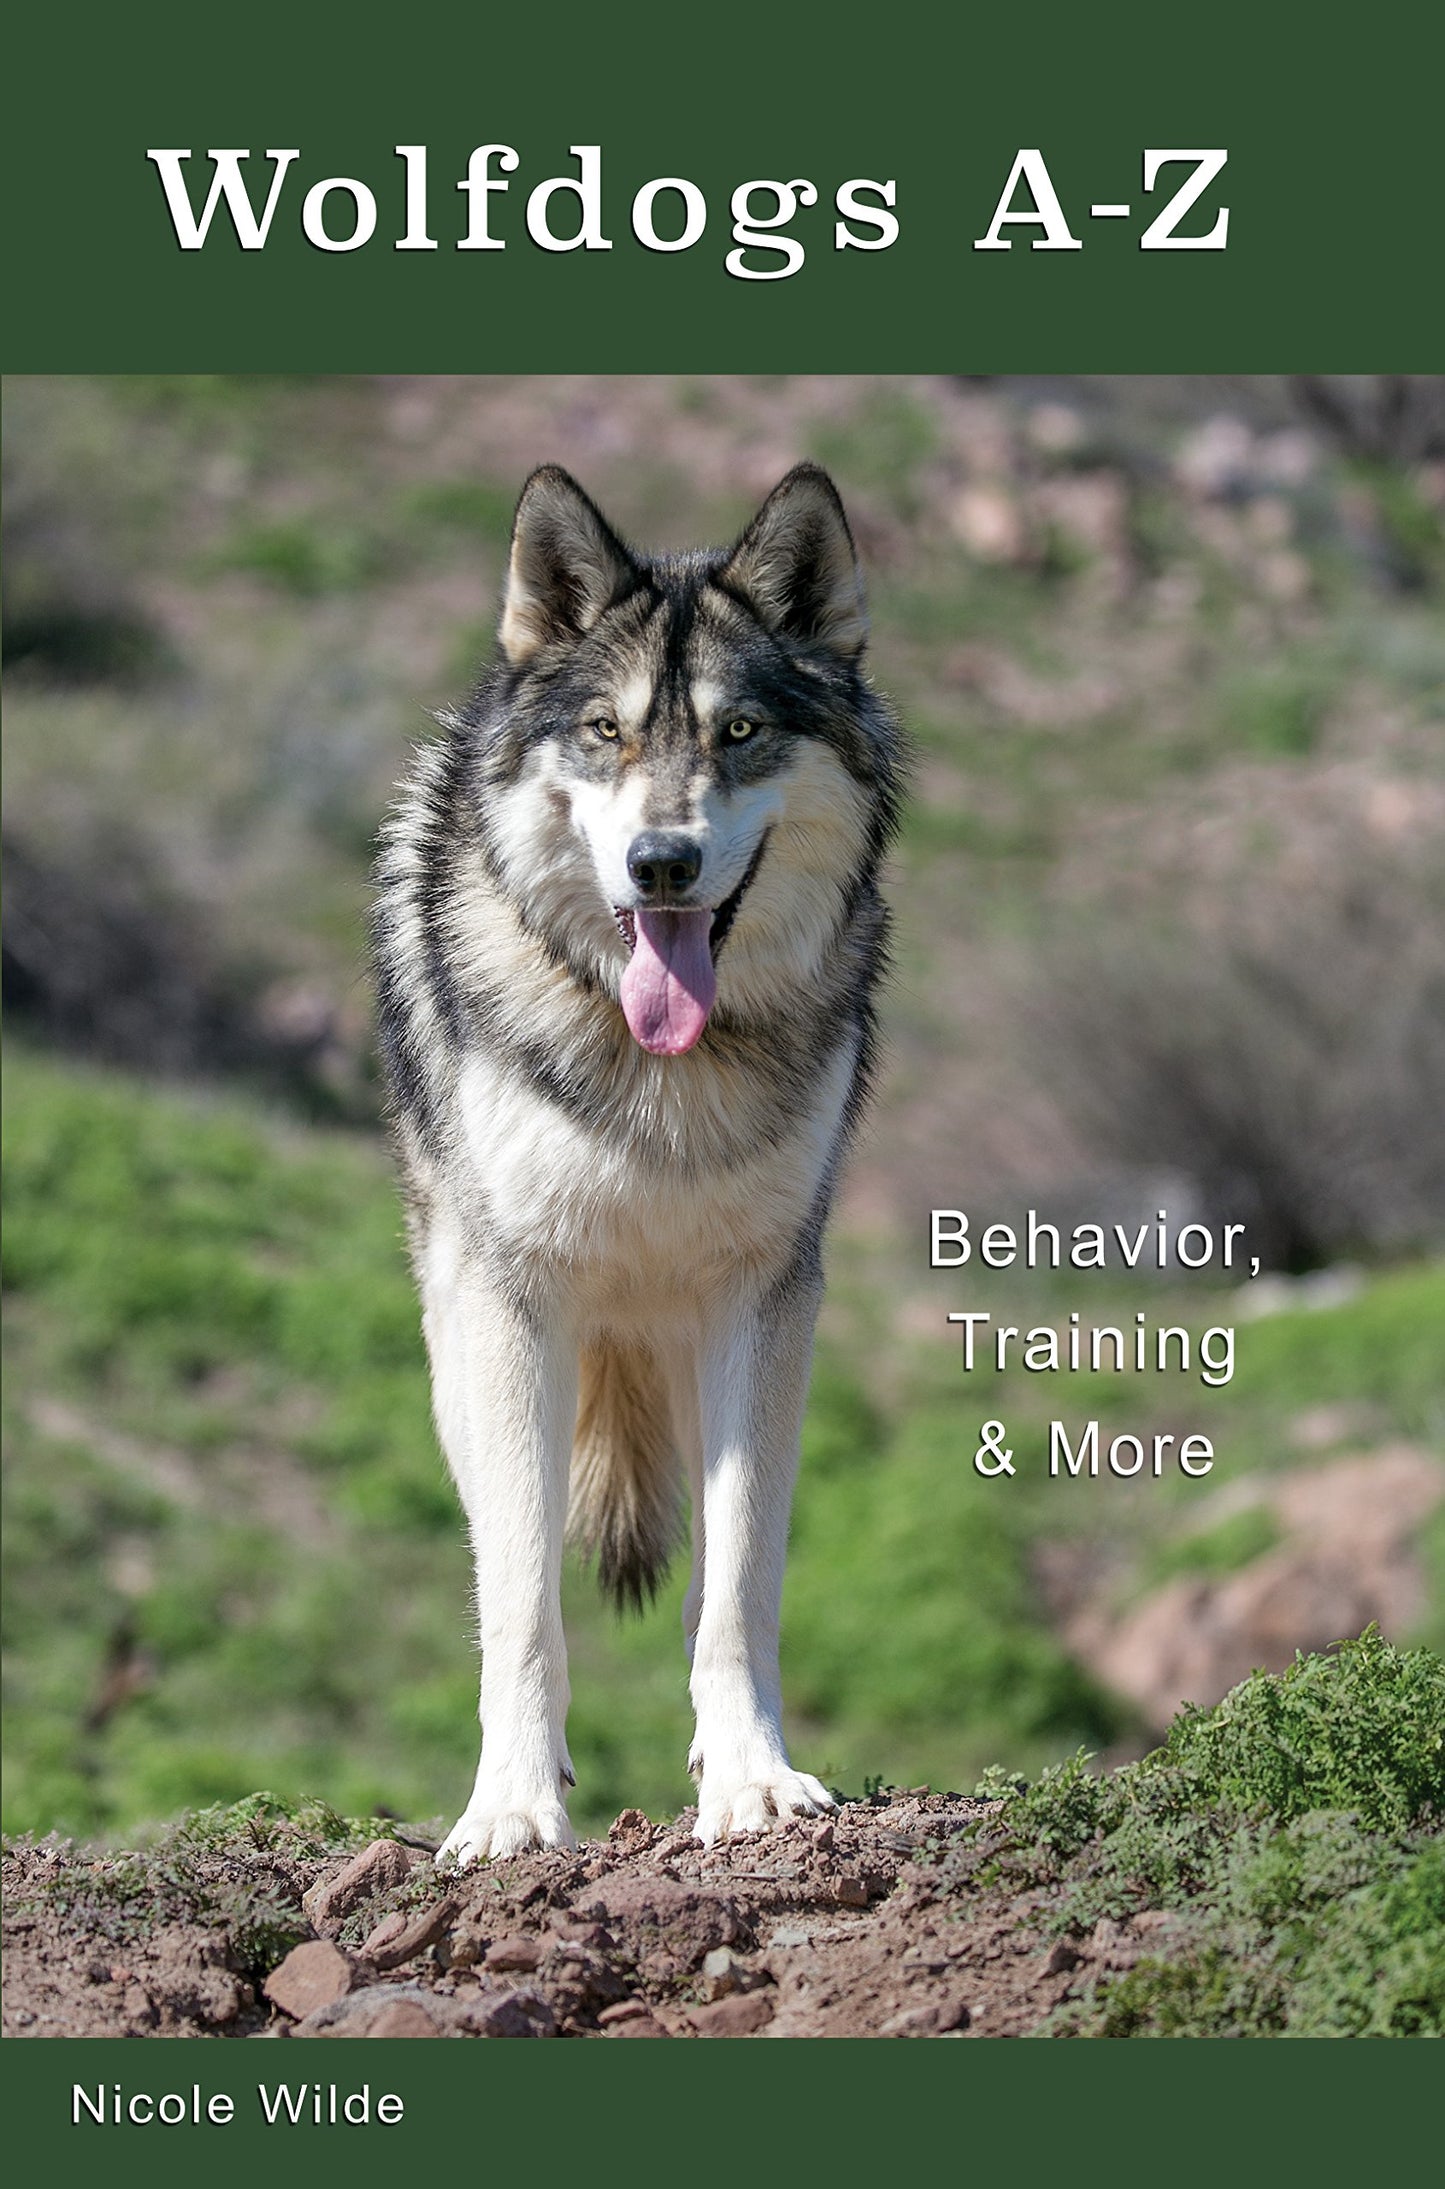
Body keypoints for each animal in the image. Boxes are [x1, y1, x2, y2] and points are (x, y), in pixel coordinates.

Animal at [373, 462, 904, 1861]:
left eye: (738, 732)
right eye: (605, 731)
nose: (660, 862)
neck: (660, 1072)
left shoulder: (766, 1302)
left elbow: (737, 1583)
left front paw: (750, 1779)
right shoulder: (513, 1308)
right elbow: (518, 1602)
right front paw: (511, 1807)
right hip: (463, 1343)